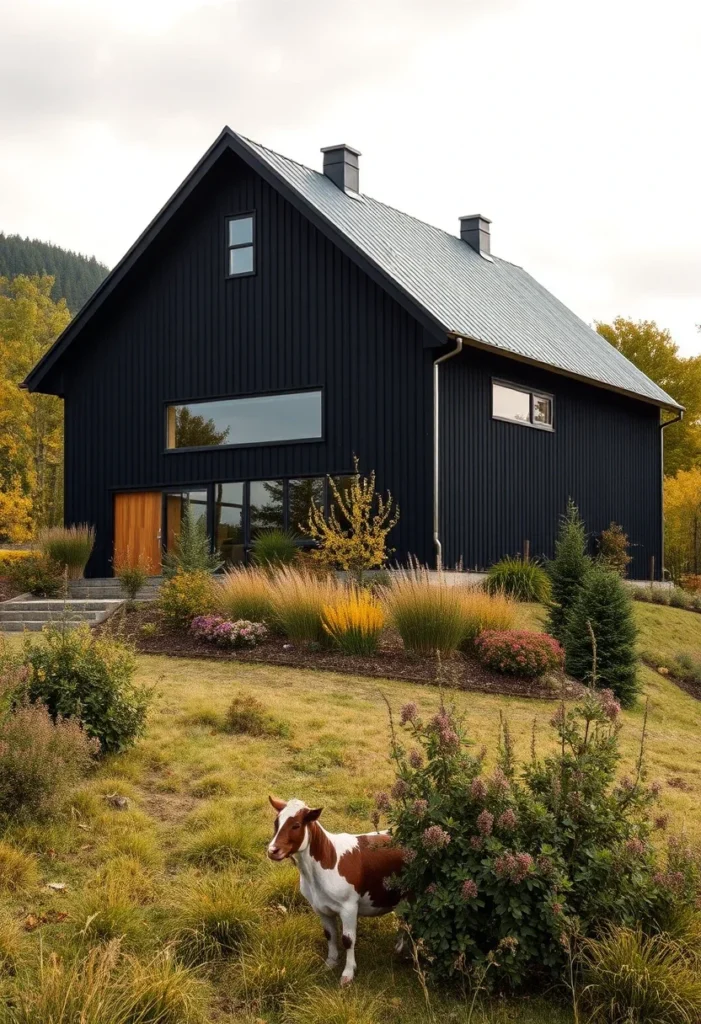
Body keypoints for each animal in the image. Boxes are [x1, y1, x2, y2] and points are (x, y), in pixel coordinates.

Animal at [266, 798, 405, 983]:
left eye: (296, 825)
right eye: (276, 823)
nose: (272, 850)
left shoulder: (349, 907)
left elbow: (348, 939)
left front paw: (348, 972)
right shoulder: (319, 906)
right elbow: (330, 934)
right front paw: (330, 963)